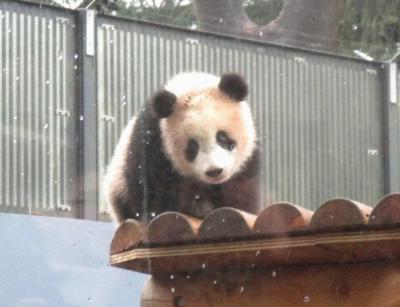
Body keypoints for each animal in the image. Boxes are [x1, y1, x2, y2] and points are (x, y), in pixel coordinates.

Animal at [104, 73, 260, 225]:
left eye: (222, 138)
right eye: (192, 147)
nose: (214, 171)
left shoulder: (247, 158)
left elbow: (241, 191)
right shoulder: (153, 142)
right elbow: (152, 189)